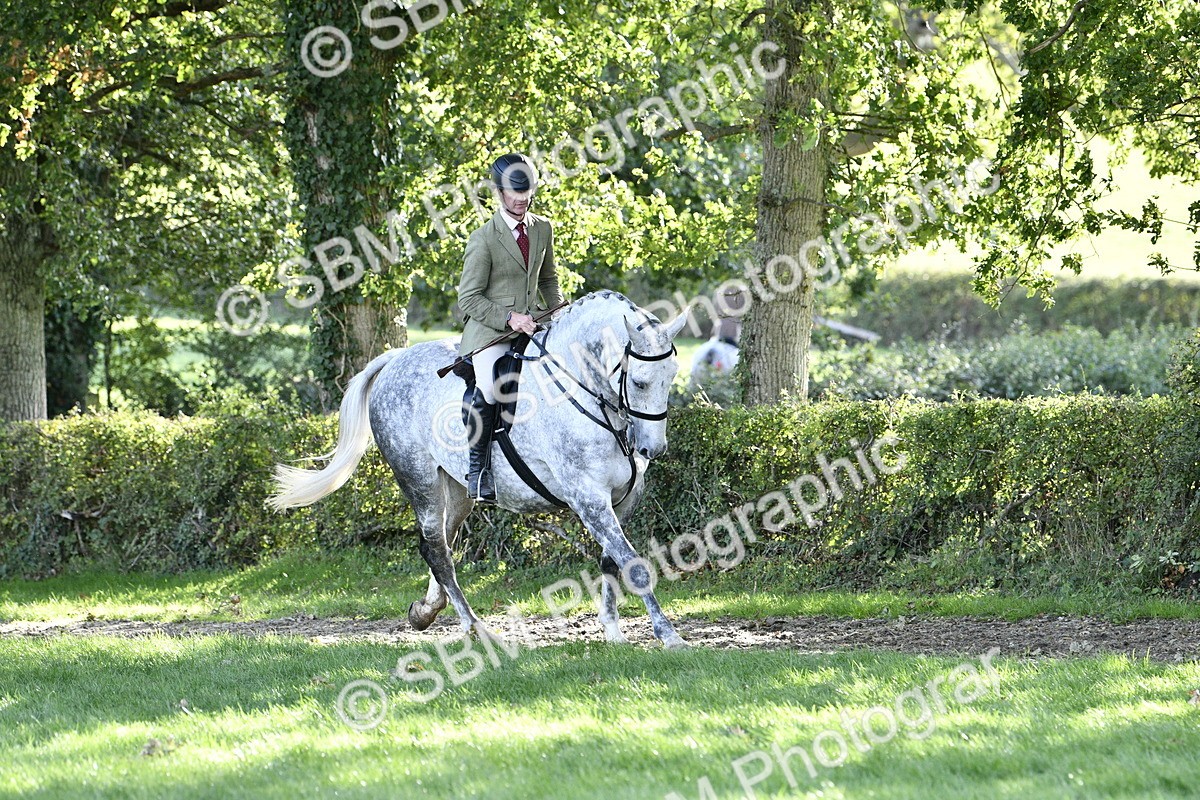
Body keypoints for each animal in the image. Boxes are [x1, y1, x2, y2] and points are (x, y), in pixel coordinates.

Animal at [268, 291, 692, 649]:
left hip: (456, 490)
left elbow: (611, 560)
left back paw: (425, 612)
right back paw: (475, 628)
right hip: (419, 481)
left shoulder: (622, 500)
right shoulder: (589, 499)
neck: (584, 391)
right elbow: (633, 565)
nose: (652, 448)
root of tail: (395, 359)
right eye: (640, 382)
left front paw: (613, 631)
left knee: (439, 543)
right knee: (436, 550)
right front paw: (668, 635)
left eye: (671, 376)